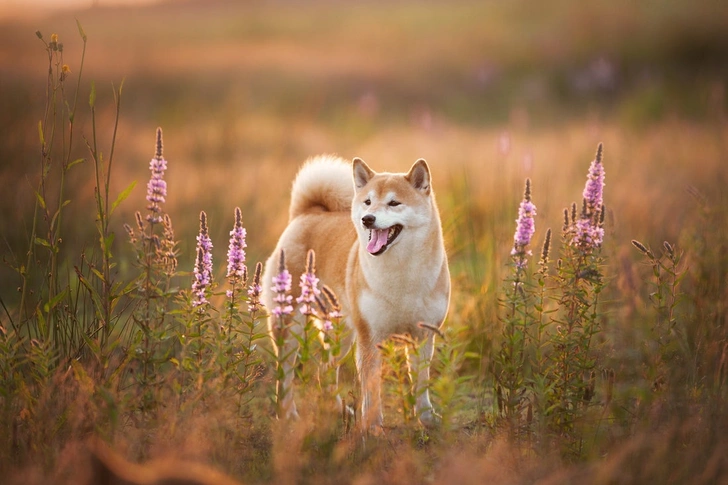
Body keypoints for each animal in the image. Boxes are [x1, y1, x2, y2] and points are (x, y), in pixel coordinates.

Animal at [264, 155, 450, 432]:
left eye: (394, 203)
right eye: (368, 202)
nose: (368, 219)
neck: (402, 273)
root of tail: (308, 213)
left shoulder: (423, 335)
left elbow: (421, 383)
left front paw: (426, 418)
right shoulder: (370, 338)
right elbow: (372, 388)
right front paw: (372, 425)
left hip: (342, 334)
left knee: (324, 370)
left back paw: (337, 409)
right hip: (291, 325)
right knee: (284, 373)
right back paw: (287, 413)